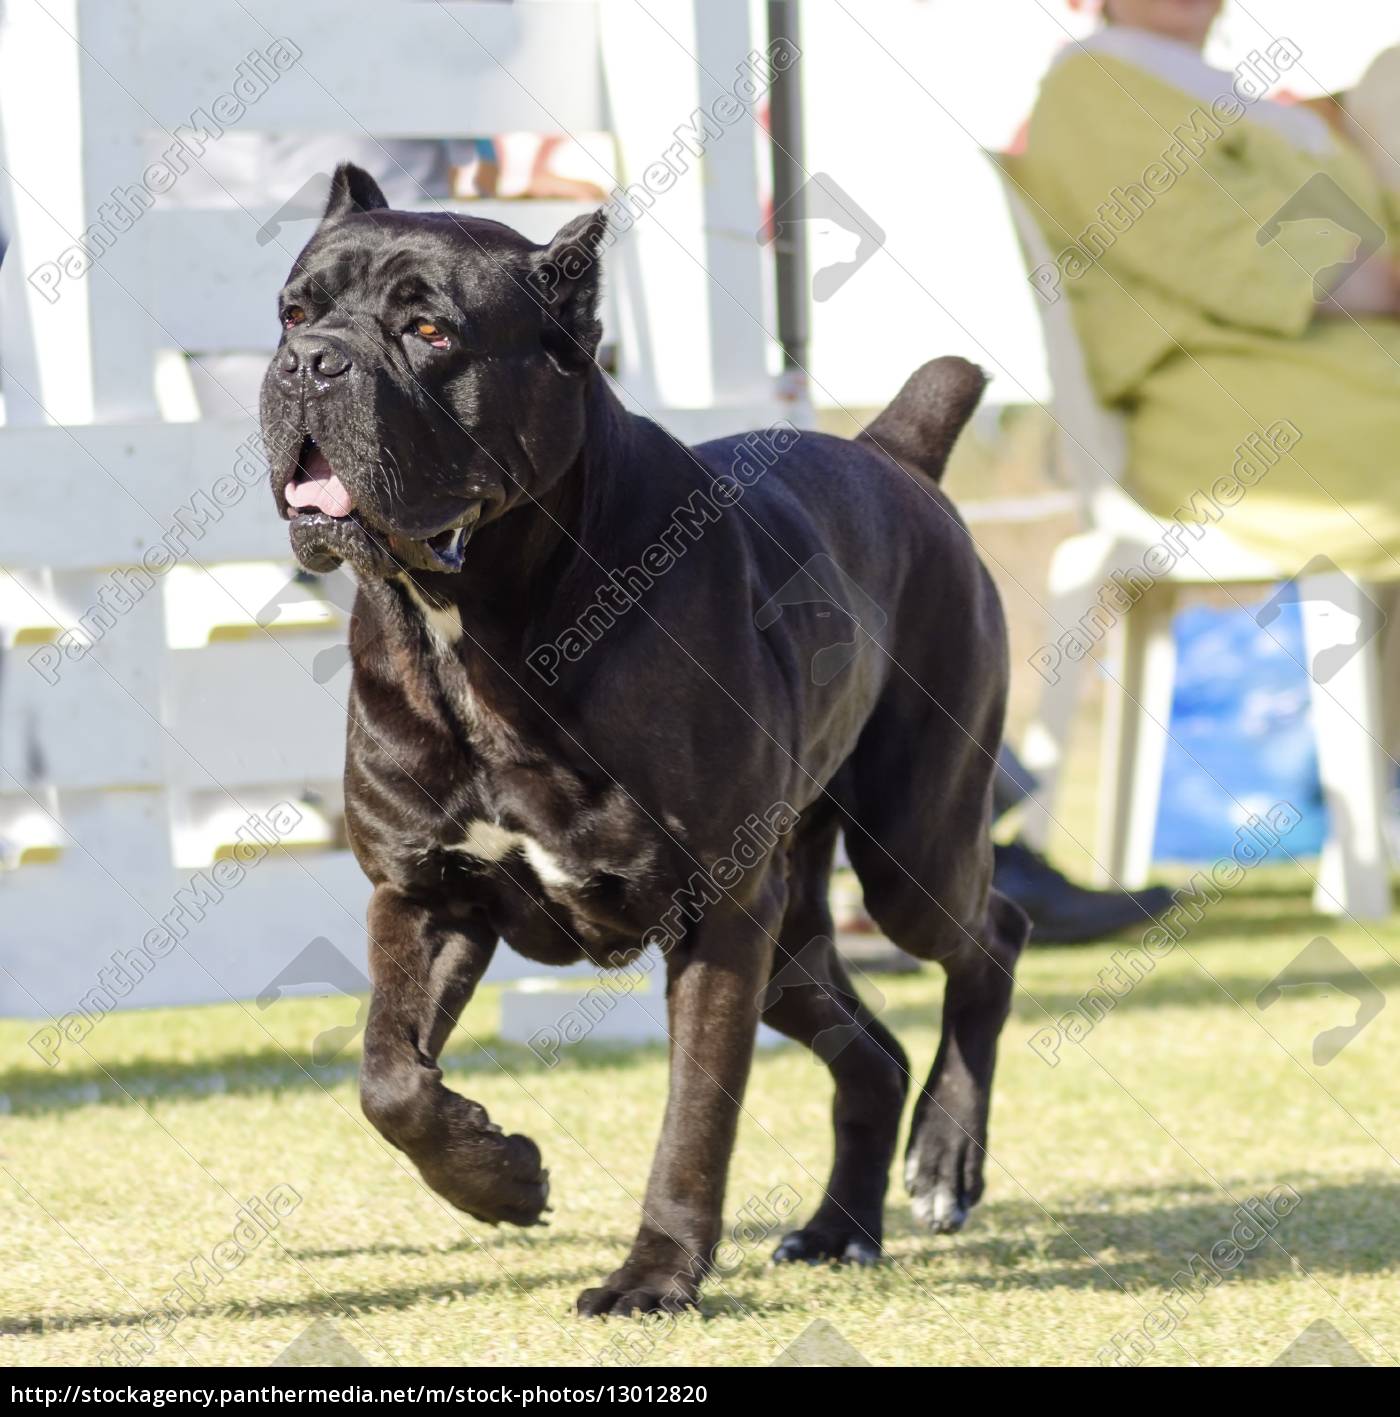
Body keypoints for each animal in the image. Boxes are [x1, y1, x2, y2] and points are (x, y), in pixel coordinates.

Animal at [264, 162, 1025, 1314]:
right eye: (294, 314)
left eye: (430, 331)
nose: (311, 364)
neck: (478, 623)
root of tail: (889, 454)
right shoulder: (425, 891)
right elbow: (389, 1077)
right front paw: (502, 1178)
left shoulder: (717, 913)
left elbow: (694, 1120)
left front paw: (654, 1276)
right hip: (795, 935)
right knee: (871, 1053)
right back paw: (839, 1228)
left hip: (910, 850)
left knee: (992, 938)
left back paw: (944, 1161)